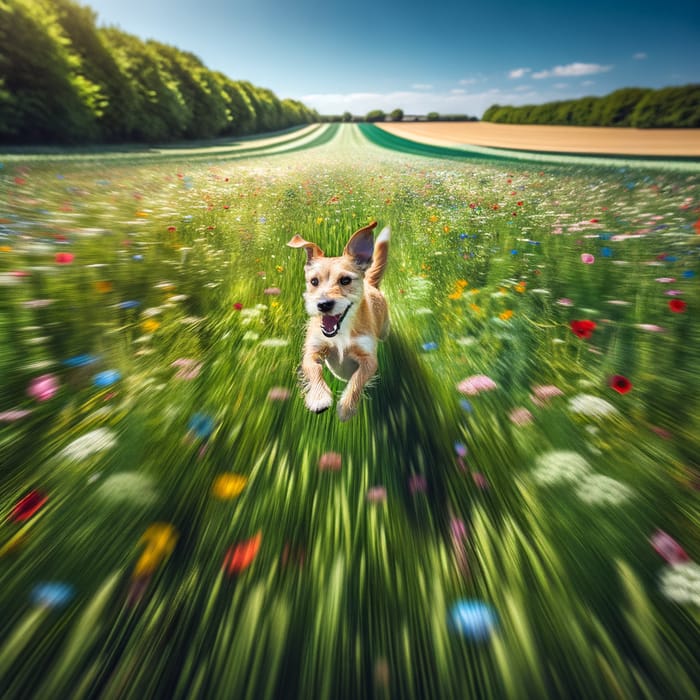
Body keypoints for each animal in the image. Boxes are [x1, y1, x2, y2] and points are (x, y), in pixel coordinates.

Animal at [288, 223, 392, 422]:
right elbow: (313, 369)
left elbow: (357, 379)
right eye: (314, 281)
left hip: (384, 330)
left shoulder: (369, 359)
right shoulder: (312, 351)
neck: (342, 332)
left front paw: (346, 407)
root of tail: (370, 283)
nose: (323, 304)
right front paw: (319, 397)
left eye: (345, 280)